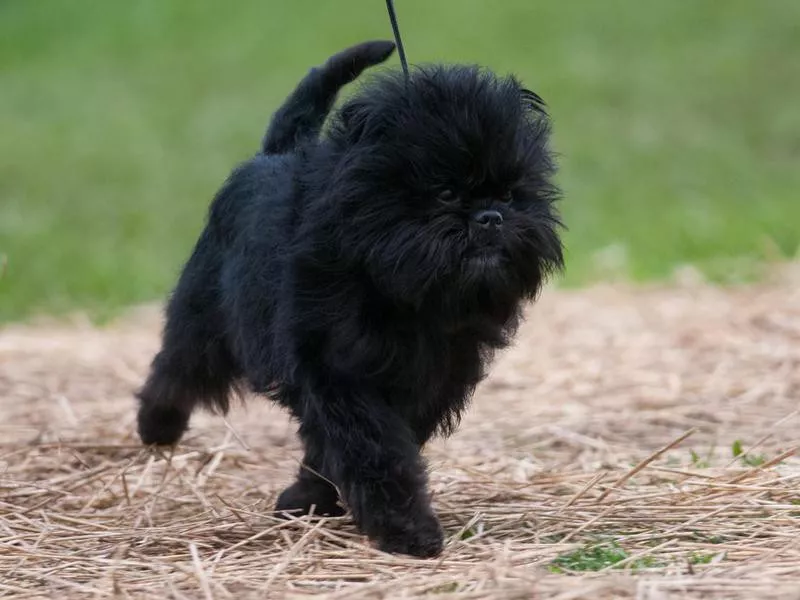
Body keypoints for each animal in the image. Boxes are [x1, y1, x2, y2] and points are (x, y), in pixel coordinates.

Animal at [138, 41, 564, 556]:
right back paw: (156, 426)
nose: (491, 217)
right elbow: (373, 450)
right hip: (205, 312)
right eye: (444, 193)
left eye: (509, 193)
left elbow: (345, 449)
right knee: (178, 365)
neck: (403, 291)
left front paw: (309, 498)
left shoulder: (430, 382)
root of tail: (275, 152)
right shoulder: (337, 373)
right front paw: (407, 528)